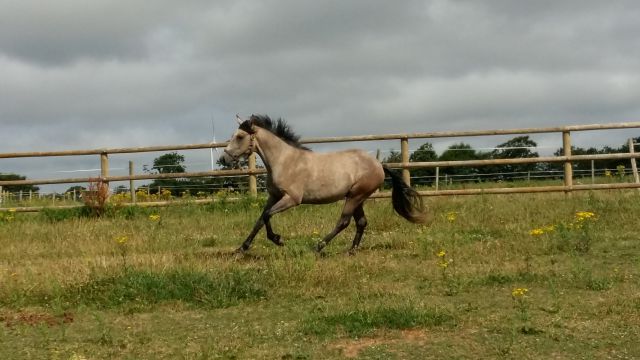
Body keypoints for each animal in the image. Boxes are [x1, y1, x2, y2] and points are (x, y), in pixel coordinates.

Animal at [220, 114, 430, 253]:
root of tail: (379, 164)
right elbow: (260, 219)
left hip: (356, 196)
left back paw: (319, 246)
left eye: (240, 136)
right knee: (361, 222)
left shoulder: (292, 199)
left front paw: (278, 240)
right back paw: (351, 250)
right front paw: (241, 248)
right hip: (357, 197)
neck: (284, 161)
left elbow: (267, 216)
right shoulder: (274, 196)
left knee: (344, 222)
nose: (224, 158)